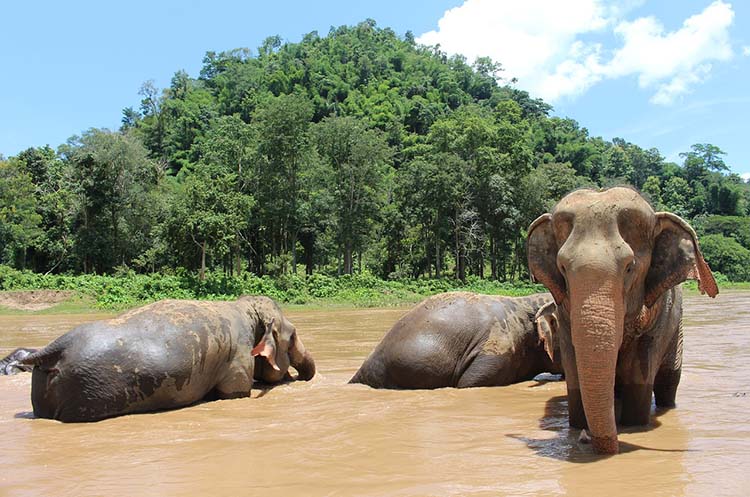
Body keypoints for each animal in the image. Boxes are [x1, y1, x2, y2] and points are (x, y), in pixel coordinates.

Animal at [19, 296, 314, 420]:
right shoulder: (238, 358)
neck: (246, 307)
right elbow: (234, 393)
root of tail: (55, 347)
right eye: (292, 337)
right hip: (86, 393)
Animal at [524, 187, 720, 454]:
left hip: (676, 330)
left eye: (629, 267)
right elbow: (574, 369)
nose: (585, 439)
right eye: (562, 268)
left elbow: (640, 373)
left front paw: (633, 426)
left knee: (669, 382)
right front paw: (577, 427)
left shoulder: (660, 314)